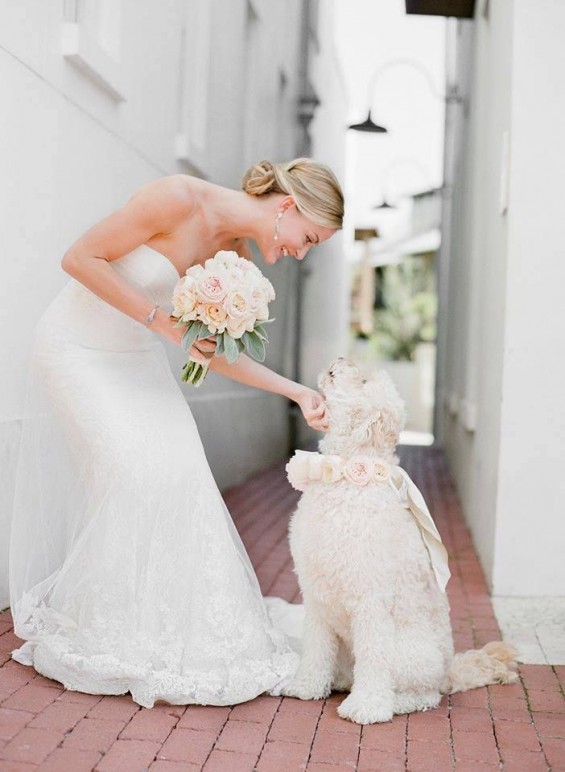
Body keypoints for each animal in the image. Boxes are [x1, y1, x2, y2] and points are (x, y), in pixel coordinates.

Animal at [278, 360, 516, 724]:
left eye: (363, 380)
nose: (339, 361)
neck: (346, 476)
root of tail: (448, 671)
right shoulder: (317, 598)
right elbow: (316, 648)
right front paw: (306, 686)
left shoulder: (371, 602)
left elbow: (374, 659)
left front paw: (366, 707)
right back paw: (342, 682)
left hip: (412, 655)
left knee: (425, 695)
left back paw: (394, 702)